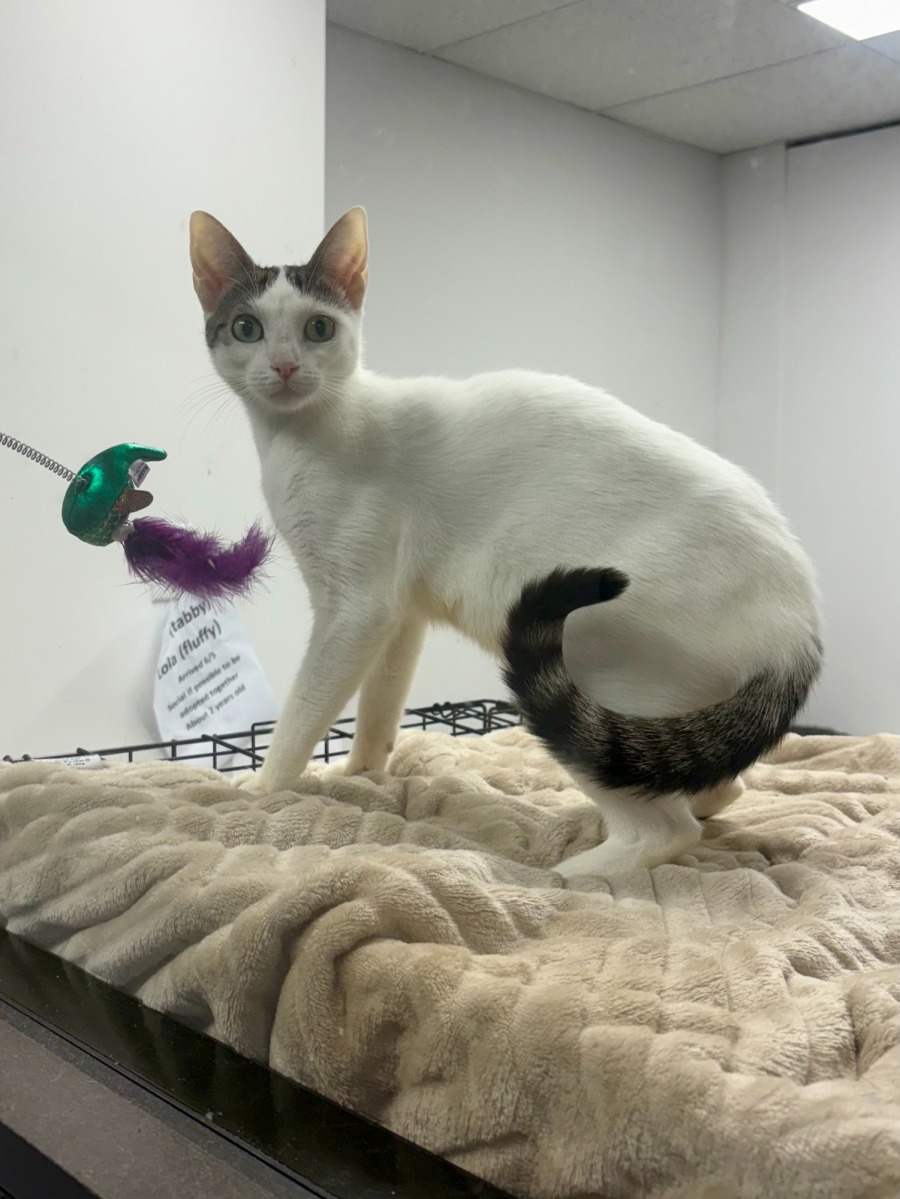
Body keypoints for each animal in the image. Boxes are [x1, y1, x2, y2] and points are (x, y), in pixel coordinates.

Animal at [189, 207, 822, 881]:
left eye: (318, 328)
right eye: (247, 328)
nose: (284, 366)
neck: (298, 437)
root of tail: (800, 635)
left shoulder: (356, 609)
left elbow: (305, 707)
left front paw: (265, 787)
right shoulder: (398, 615)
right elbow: (380, 706)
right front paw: (361, 774)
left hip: (582, 665)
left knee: (665, 829)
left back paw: (565, 876)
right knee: (712, 782)